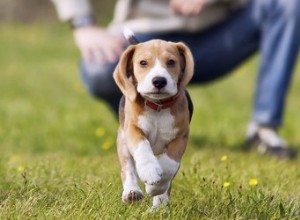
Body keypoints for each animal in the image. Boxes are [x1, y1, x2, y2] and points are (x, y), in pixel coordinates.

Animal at [113, 38, 195, 210]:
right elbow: (142, 146)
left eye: (171, 62)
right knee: (127, 168)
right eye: (143, 63)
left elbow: (169, 164)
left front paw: (155, 188)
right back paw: (132, 192)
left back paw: (160, 206)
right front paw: (149, 170)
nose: (159, 81)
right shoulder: (132, 129)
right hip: (122, 141)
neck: (158, 106)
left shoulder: (181, 137)